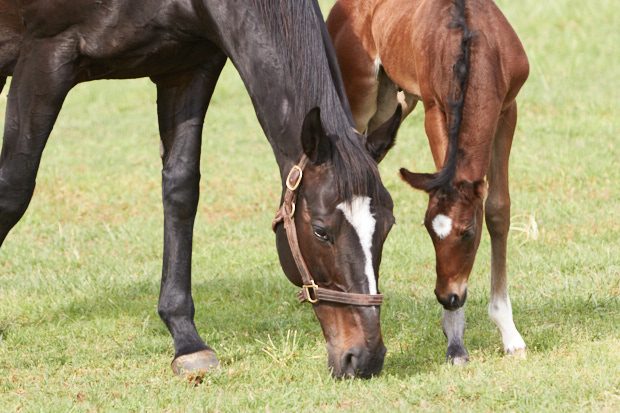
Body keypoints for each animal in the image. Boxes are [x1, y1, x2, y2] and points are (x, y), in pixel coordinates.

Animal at [0, 0, 398, 378]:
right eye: (320, 230)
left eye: (388, 227)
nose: (365, 357)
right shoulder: (45, 57)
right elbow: (13, 190)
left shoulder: (188, 68)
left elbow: (181, 190)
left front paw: (187, 342)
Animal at [330, 0, 528, 360]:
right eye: (428, 231)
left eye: (469, 232)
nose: (448, 296)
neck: (473, 47)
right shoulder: (435, 109)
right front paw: (455, 342)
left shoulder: (508, 108)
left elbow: (498, 209)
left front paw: (510, 334)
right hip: (360, 96)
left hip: (394, 103)